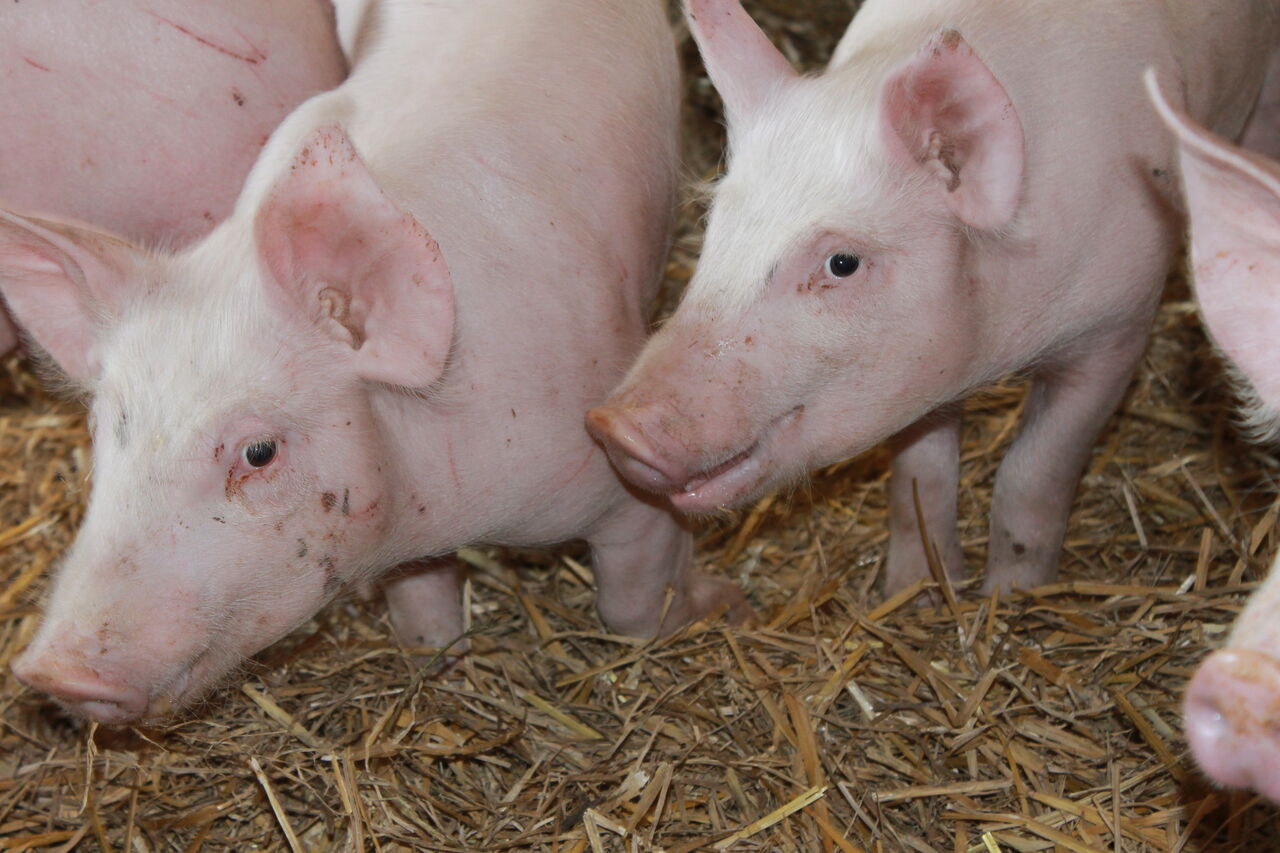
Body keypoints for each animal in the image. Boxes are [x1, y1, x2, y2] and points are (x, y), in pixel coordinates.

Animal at [587, 0, 1279, 597]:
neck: (1002, 343)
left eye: (842, 263)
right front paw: (915, 588)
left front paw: (1011, 598)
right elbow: (919, 472)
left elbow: (1034, 469)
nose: (612, 426)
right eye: (715, 223)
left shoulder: (1119, 325)